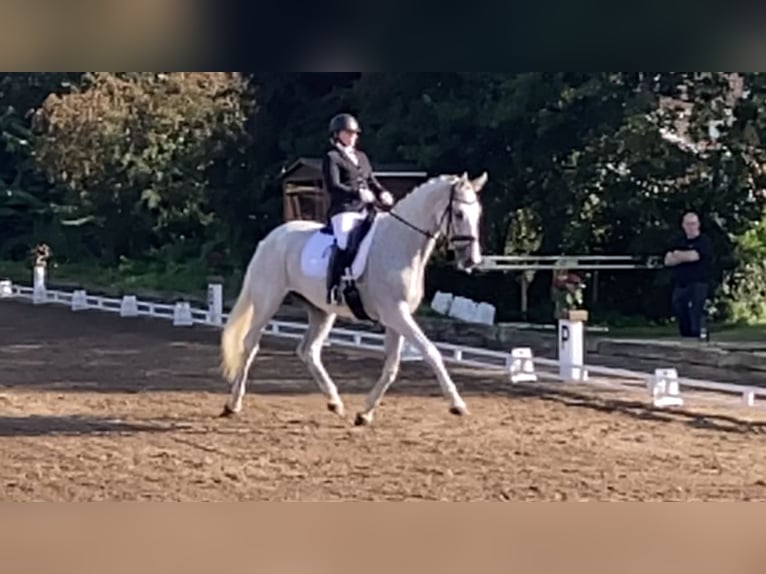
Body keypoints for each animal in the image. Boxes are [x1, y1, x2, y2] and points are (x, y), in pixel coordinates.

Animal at [219, 171, 487, 426]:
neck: (399, 244)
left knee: (309, 350)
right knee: (250, 344)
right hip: (268, 300)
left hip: (321, 310)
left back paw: (335, 402)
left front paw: (365, 413)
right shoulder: (395, 314)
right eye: (459, 214)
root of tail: (270, 238)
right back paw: (233, 404)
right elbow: (431, 352)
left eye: (478, 214)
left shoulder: (397, 318)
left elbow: (391, 367)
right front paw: (457, 404)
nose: (472, 260)